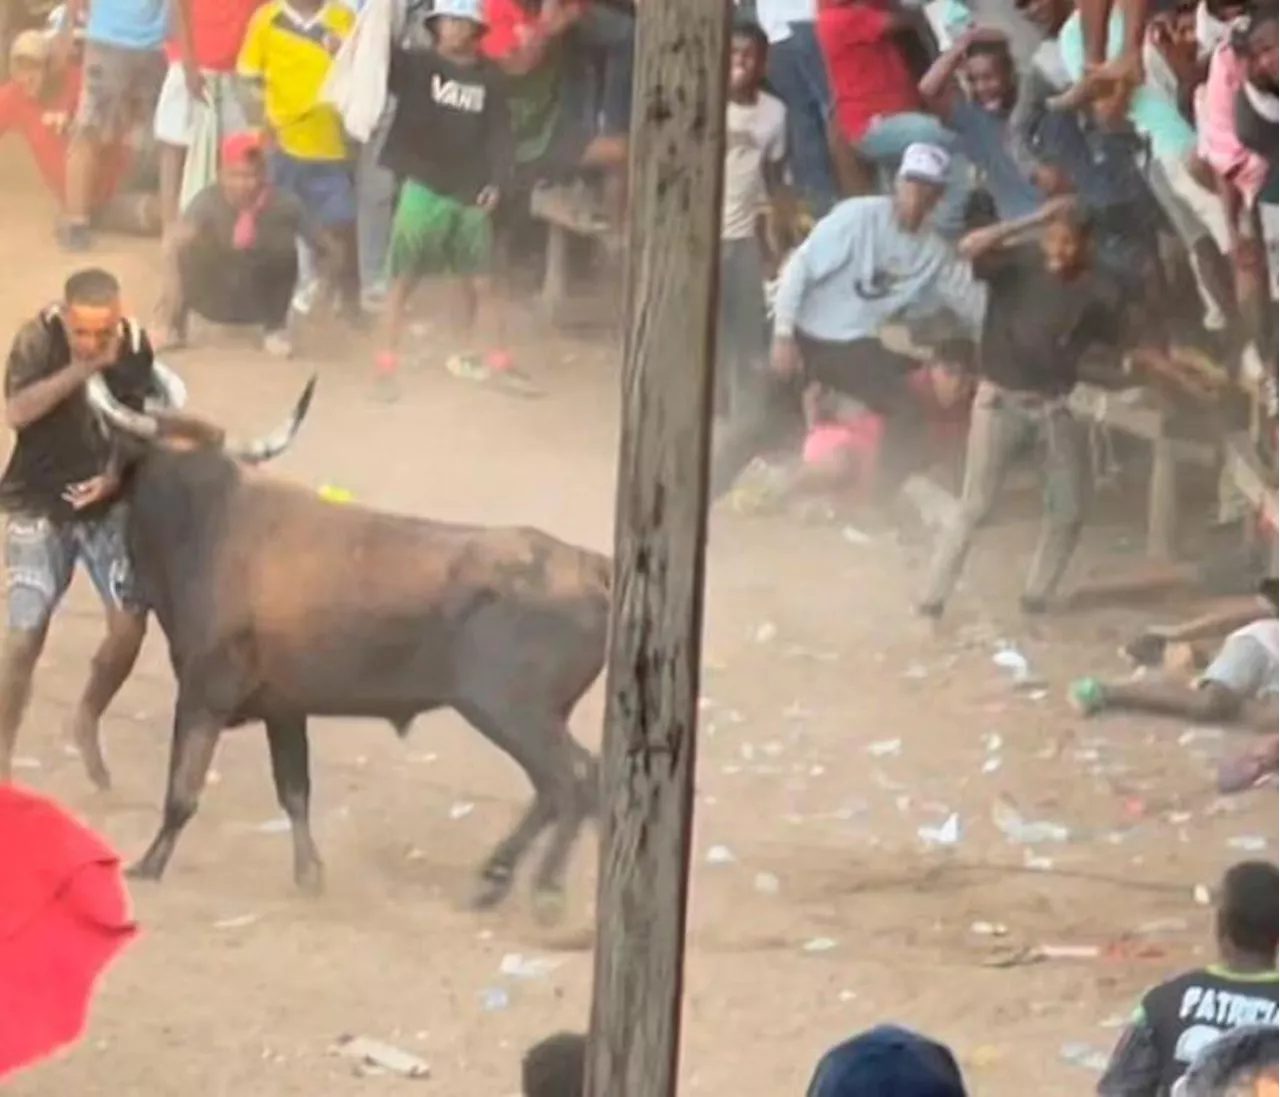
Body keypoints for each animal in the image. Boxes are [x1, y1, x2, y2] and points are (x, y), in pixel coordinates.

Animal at [81, 371, 609, 921]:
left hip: (512, 712)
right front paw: (309, 874)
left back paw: (543, 889)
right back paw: (496, 879)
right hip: (529, 717)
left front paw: (149, 864)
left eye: (113, 445)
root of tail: (591, 565)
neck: (208, 519)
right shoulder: (283, 710)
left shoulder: (203, 695)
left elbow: (182, 791)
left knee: (572, 781)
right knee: (564, 786)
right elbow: (294, 790)